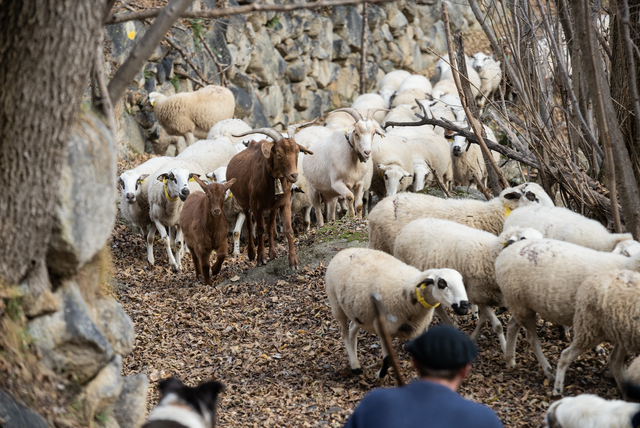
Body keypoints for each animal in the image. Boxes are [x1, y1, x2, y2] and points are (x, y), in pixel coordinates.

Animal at [226, 123, 314, 270]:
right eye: (278, 154)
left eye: (297, 152)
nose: (294, 175)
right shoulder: (256, 205)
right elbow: (260, 230)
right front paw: (261, 258)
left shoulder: (284, 203)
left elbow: (288, 230)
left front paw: (293, 262)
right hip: (244, 204)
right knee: (249, 224)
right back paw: (252, 253)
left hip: (273, 207)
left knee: (271, 226)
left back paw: (272, 253)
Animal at [325, 247, 469, 378]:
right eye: (442, 283)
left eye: (461, 281)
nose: (464, 305)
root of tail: (344, 251)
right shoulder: (384, 329)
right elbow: (388, 359)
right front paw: (380, 375)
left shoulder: (418, 330)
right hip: (337, 306)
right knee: (344, 333)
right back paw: (354, 365)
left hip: (360, 313)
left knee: (353, 329)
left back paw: (355, 361)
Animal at [394, 218, 543, 351]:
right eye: (523, 238)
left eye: (542, 238)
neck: (491, 255)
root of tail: (408, 225)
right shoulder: (479, 296)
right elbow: (497, 326)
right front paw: (505, 348)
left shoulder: (486, 298)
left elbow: (483, 320)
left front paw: (473, 336)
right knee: (437, 308)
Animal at [494, 239, 640, 381]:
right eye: (626, 252)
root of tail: (505, 252)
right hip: (520, 303)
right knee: (531, 338)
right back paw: (548, 371)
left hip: (521, 304)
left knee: (512, 325)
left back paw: (510, 360)